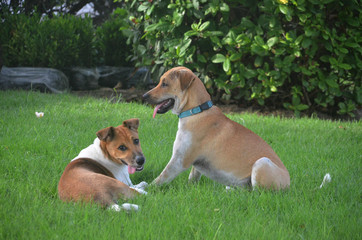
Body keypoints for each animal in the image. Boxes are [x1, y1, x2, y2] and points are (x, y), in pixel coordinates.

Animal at [143, 66, 290, 190]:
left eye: (165, 84)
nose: (144, 96)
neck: (196, 111)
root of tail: (289, 184)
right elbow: (193, 177)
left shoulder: (179, 160)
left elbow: (161, 178)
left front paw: (147, 189)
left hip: (261, 163)